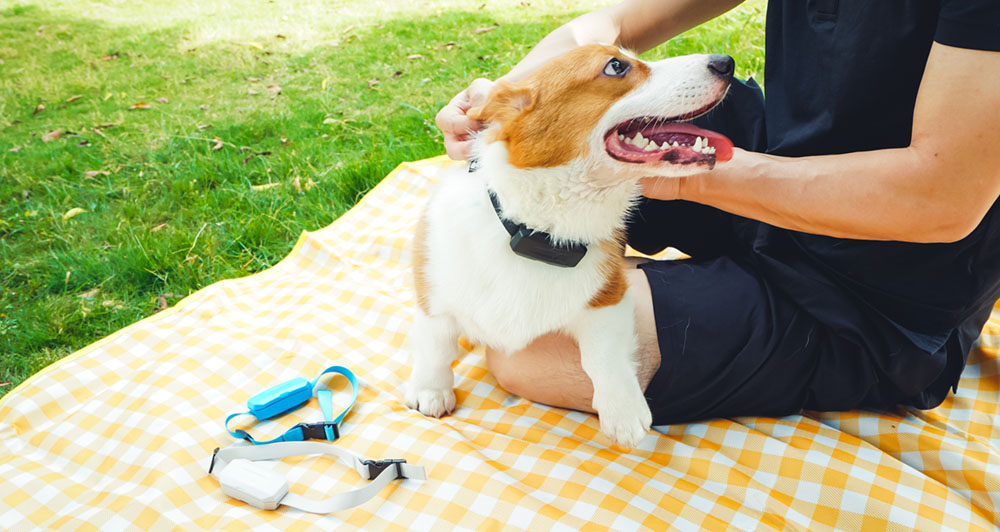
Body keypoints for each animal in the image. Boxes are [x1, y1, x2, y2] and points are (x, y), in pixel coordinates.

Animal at [406, 43, 736, 446]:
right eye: (616, 66)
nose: (726, 63)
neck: (538, 236)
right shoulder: (432, 297)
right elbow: (435, 345)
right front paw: (430, 390)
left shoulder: (608, 298)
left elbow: (602, 354)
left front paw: (622, 411)